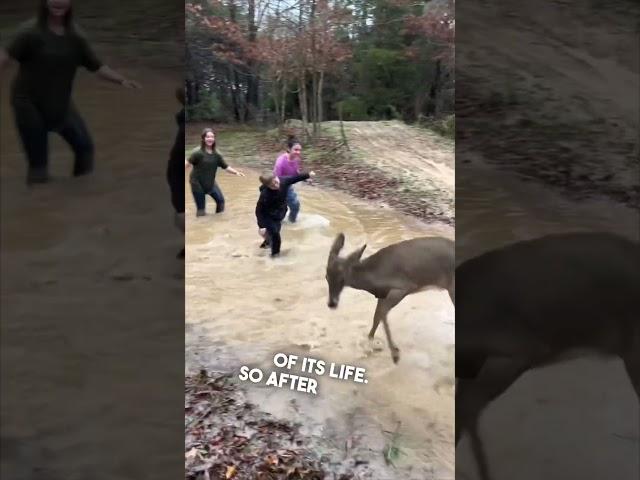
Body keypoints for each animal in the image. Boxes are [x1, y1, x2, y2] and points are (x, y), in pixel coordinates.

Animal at [324, 232, 456, 364]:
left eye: (342, 279)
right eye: (326, 276)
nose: (332, 303)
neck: (373, 278)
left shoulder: (403, 288)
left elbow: (382, 314)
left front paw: (395, 354)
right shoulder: (383, 294)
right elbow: (376, 316)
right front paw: (369, 342)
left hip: (452, 287)